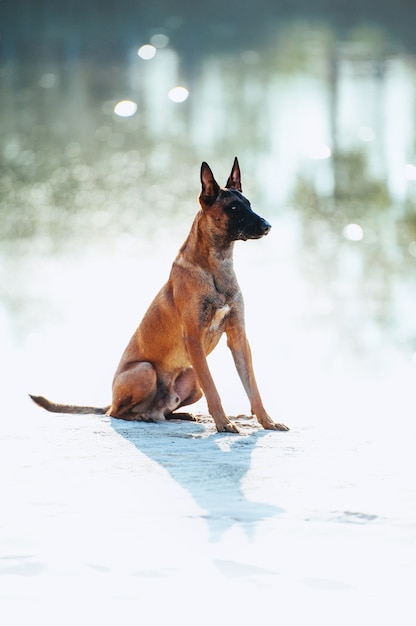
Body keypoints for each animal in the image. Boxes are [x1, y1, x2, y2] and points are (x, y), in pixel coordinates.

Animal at [30, 156, 290, 432]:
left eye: (248, 204)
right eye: (233, 208)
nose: (267, 226)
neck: (216, 267)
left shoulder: (238, 338)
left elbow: (253, 388)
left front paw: (267, 421)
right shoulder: (194, 340)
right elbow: (213, 388)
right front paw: (223, 423)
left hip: (190, 377)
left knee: (163, 411)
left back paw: (179, 415)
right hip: (145, 371)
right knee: (117, 412)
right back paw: (141, 416)